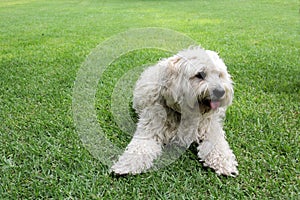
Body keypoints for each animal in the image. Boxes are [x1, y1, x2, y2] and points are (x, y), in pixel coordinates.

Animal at [110, 45, 239, 177]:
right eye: (200, 75)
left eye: (219, 75)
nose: (220, 92)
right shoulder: (150, 129)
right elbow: (139, 148)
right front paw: (127, 164)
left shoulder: (211, 128)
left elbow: (218, 145)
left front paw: (223, 163)